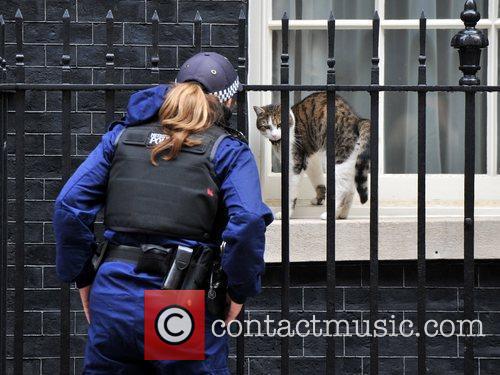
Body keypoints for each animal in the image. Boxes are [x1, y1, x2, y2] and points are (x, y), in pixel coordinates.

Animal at [256, 92, 370, 220]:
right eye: (266, 126)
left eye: (280, 124)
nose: (274, 135)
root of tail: (356, 119)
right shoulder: (311, 160)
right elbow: (318, 181)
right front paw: (319, 199)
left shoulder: (296, 163)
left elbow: (291, 191)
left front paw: (286, 213)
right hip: (348, 161)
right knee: (350, 189)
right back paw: (343, 214)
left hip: (336, 159)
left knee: (342, 189)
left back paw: (331, 214)